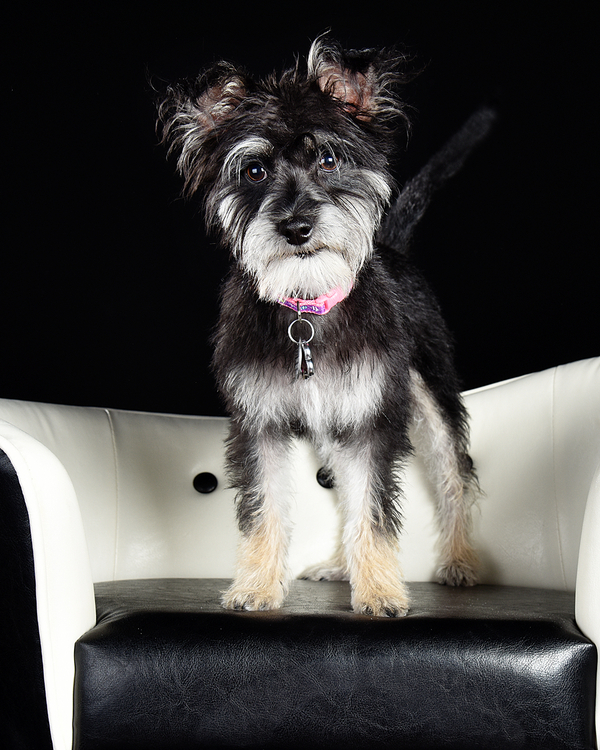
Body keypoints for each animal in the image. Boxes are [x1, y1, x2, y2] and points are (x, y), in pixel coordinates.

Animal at [159, 35, 482, 620]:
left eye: (329, 159)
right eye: (255, 171)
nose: (296, 227)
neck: (307, 309)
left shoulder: (371, 422)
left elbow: (372, 508)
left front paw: (379, 592)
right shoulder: (261, 424)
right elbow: (265, 505)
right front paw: (257, 587)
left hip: (432, 398)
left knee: (455, 475)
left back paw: (461, 560)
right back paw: (340, 564)